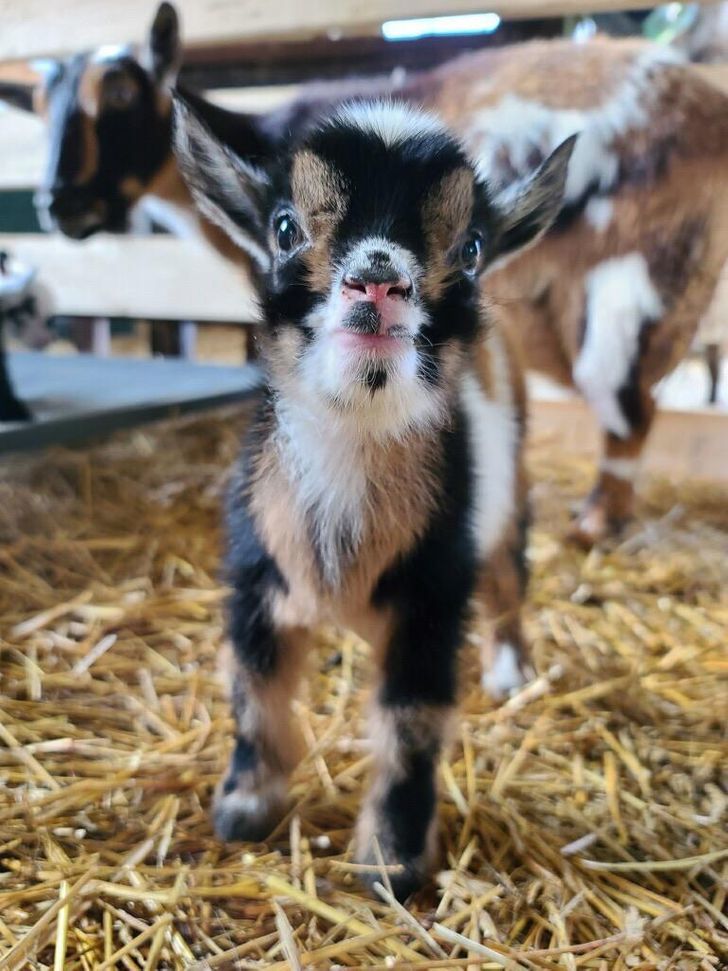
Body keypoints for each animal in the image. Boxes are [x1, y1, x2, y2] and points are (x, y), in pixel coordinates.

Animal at [172, 95, 576, 900]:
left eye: (473, 245)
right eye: (284, 226)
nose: (378, 281)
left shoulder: (433, 598)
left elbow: (411, 726)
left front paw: (392, 861)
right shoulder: (256, 575)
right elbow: (255, 695)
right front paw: (244, 806)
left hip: (508, 496)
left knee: (509, 580)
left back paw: (508, 669)